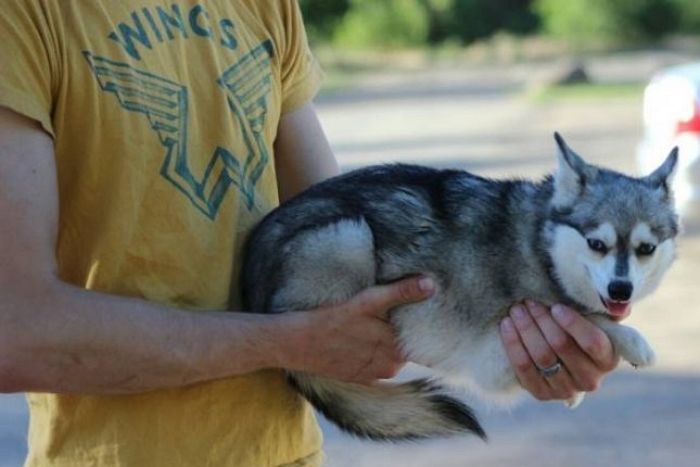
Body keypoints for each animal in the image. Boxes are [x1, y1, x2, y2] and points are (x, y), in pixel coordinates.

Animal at [239, 133, 680, 442]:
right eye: (596, 244)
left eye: (645, 249)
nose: (621, 290)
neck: (541, 243)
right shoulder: (495, 355)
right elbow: (585, 318)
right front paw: (632, 340)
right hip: (348, 237)